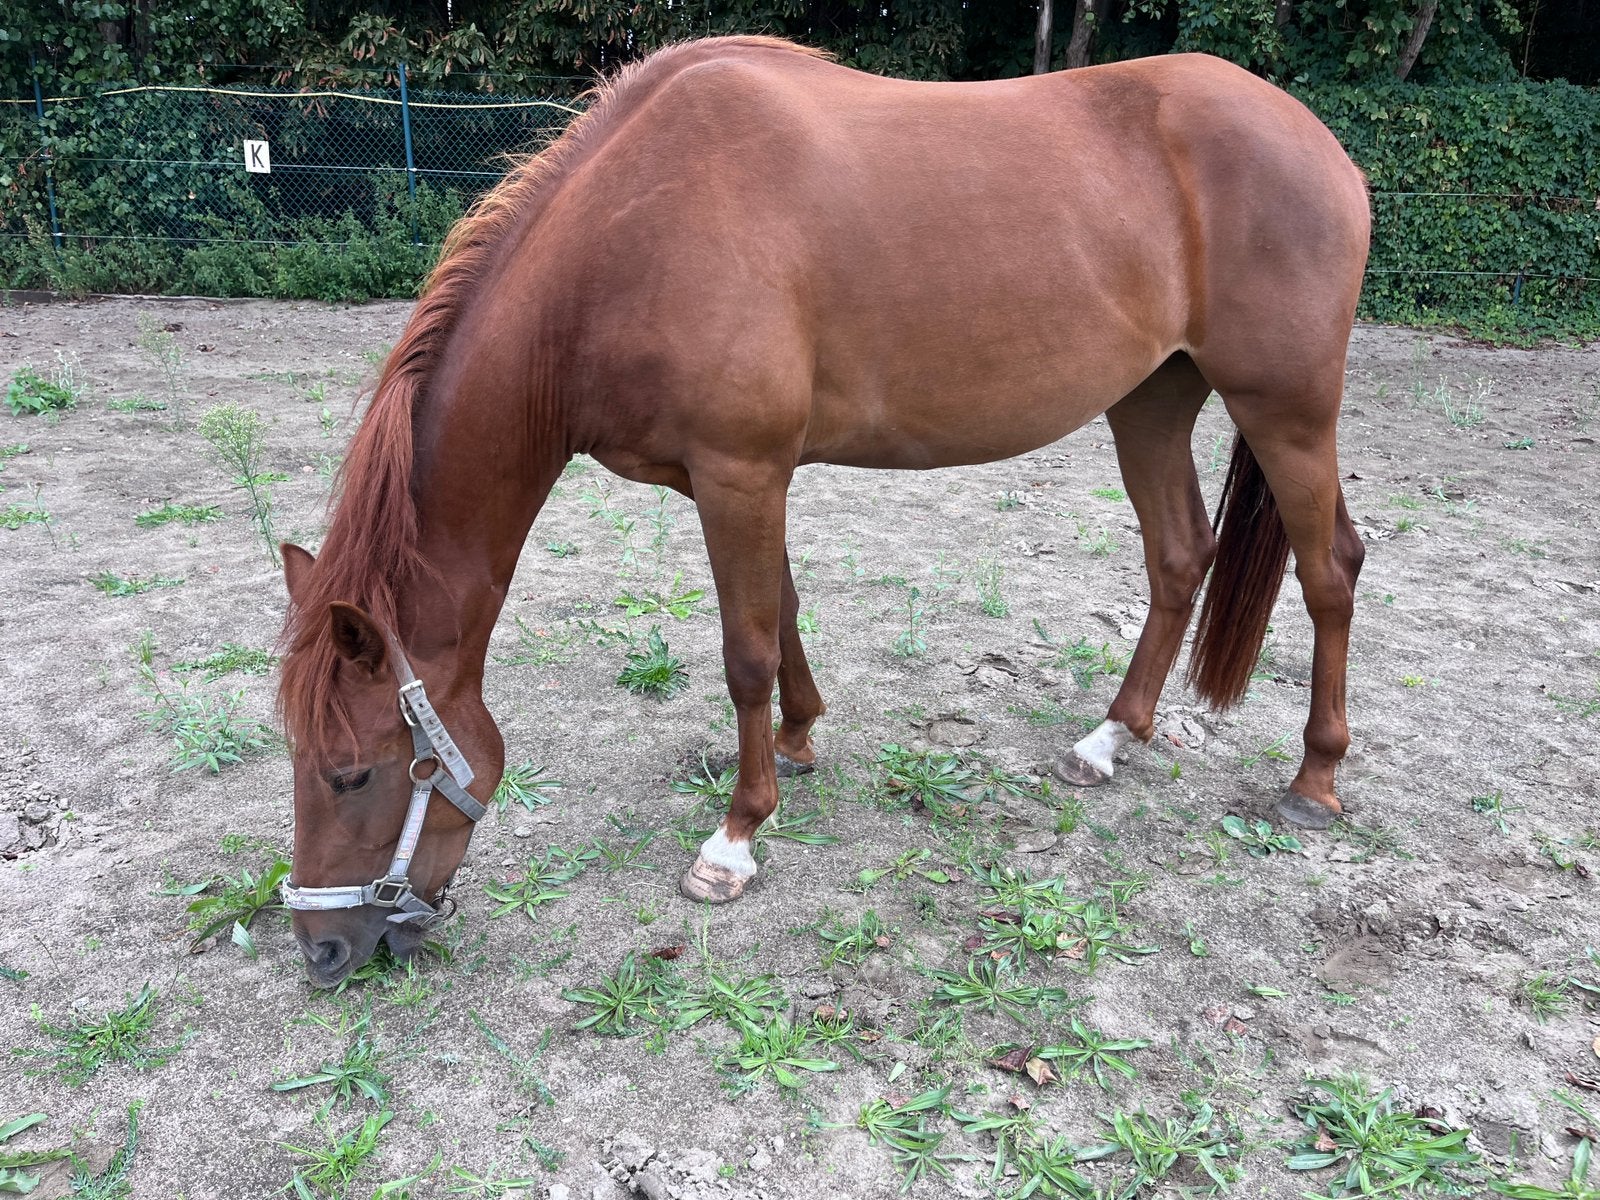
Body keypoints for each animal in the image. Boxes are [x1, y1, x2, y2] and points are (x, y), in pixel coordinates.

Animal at [276, 35, 1370, 986]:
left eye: (351, 774)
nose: (323, 951)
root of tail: (1316, 141)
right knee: (1179, 555)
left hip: (1288, 410)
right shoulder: (732, 478)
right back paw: (1108, 741)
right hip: (1151, 399)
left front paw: (733, 839)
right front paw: (799, 743)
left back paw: (1313, 782)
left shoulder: (740, 472)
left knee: (1330, 572)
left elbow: (744, 653)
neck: (630, 239)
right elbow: (784, 614)